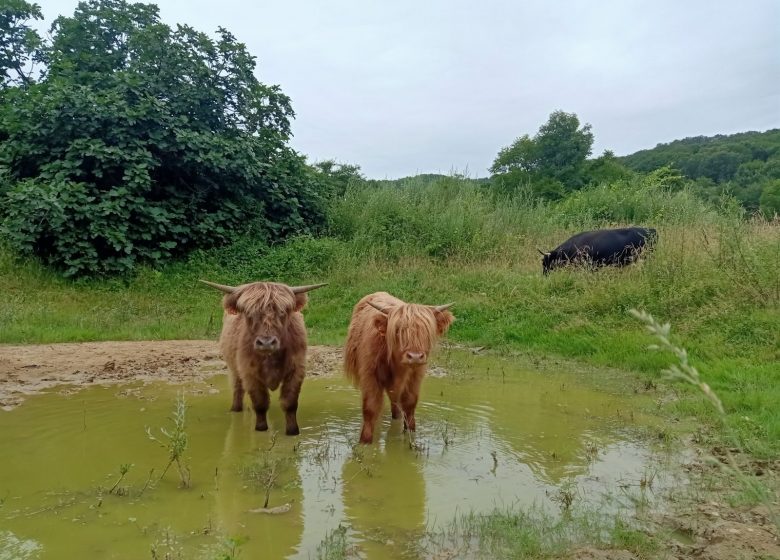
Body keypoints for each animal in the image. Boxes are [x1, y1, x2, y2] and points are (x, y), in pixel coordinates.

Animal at [201, 282, 326, 436]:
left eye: (282, 312)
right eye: (249, 313)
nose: (266, 343)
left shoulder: (297, 369)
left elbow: (290, 403)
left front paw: (293, 431)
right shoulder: (249, 373)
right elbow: (260, 403)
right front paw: (260, 429)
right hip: (233, 369)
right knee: (238, 390)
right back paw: (236, 409)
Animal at [344, 290, 454, 444]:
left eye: (426, 331)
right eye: (398, 330)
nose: (415, 356)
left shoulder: (415, 375)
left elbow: (410, 404)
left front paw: (411, 435)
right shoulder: (369, 375)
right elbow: (370, 407)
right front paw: (365, 442)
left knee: (395, 405)